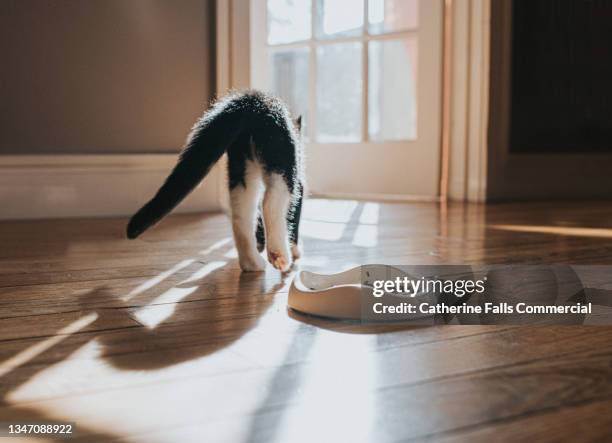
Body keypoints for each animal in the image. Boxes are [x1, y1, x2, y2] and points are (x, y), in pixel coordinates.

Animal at [126, 90, 304, 272]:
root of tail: (255, 100)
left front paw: (261, 245)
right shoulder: (300, 185)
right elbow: (294, 217)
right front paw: (294, 249)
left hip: (241, 168)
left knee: (241, 216)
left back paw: (252, 262)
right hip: (282, 161)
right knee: (270, 202)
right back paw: (279, 256)